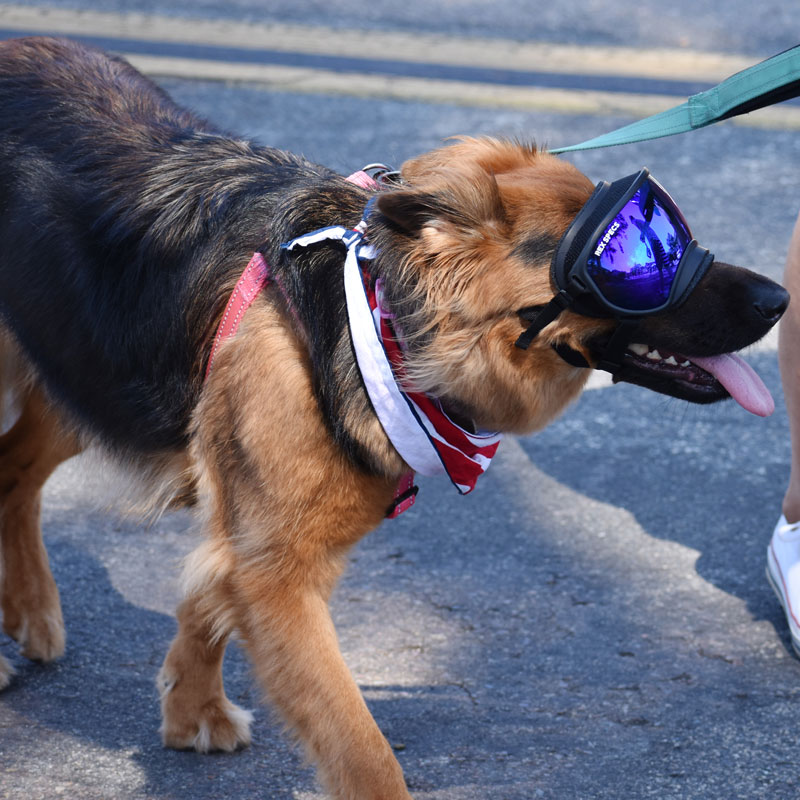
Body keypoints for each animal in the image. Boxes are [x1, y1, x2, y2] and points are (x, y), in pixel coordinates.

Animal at [0, 36, 788, 800]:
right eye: (642, 260)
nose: (780, 299)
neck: (382, 322)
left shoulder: (252, 539)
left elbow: (205, 596)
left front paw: (192, 709)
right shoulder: (279, 571)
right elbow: (361, 751)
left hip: (78, 368)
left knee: (14, 471)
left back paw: (29, 612)